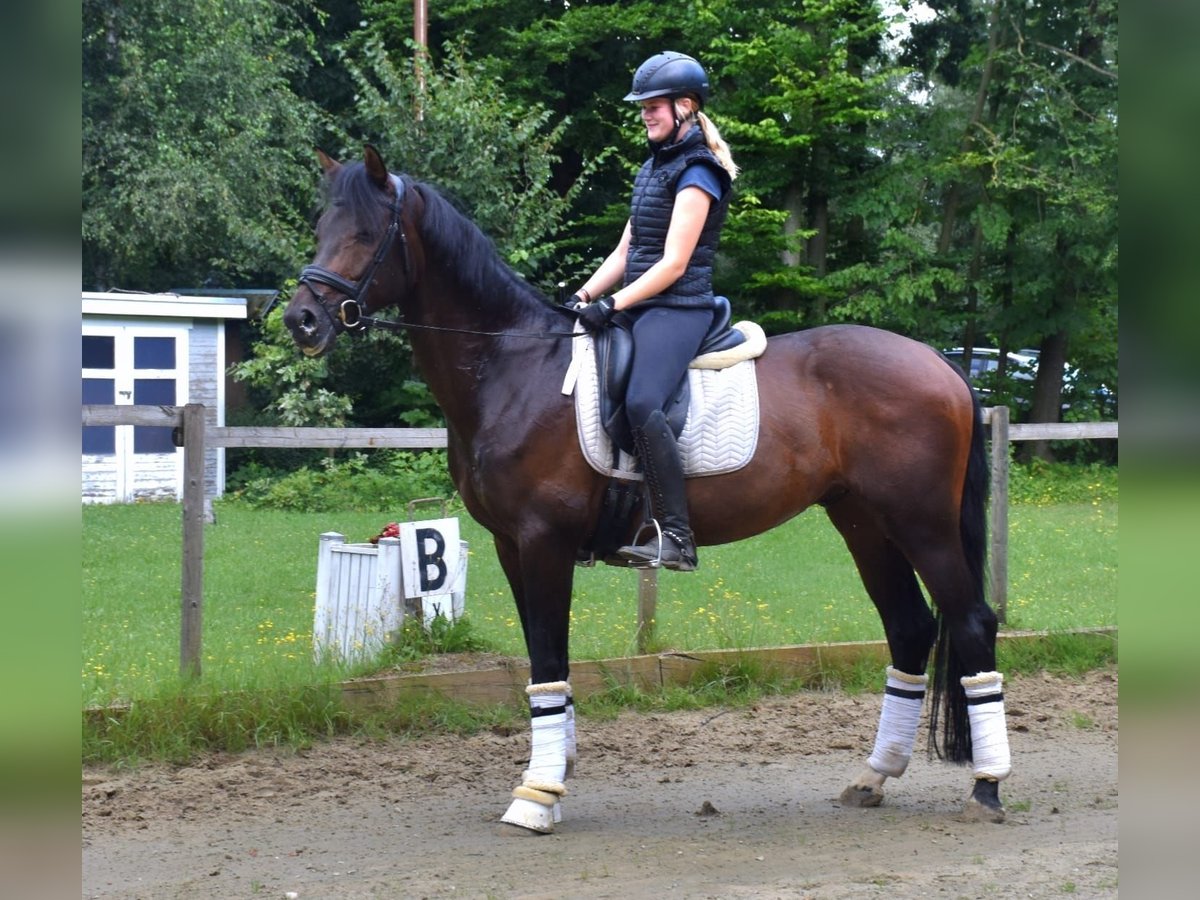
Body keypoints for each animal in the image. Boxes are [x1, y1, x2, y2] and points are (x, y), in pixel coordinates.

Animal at [283, 146, 1012, 830]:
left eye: (366, 232)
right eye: (322, 226)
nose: (302, 320)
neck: (512, 368)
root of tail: (940, 364)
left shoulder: (543, 542)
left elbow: (549, 655)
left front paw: (537, 794)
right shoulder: (510, 546)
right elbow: (544, 657)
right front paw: (556, 765)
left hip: (920, 522)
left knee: (971, 621)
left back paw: (987, 786)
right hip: (863, 521)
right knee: (911, 628)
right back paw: (874, 777)